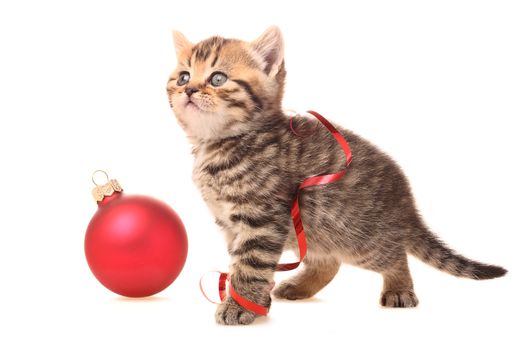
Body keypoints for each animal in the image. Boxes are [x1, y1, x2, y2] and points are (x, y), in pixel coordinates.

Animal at [166, 25, 506, 326]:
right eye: (183, 76)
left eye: (218, 78)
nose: (189, 89)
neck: (221, 144)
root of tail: (407, 207)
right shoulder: (230, 225)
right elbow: (242, 264)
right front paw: (254, 302)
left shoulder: (262, 219)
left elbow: (250, 265)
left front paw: (240, 306)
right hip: (315, 231)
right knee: (329, 262)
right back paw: (300, 286)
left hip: (358, 237)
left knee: (395, 255)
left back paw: (398, 288)